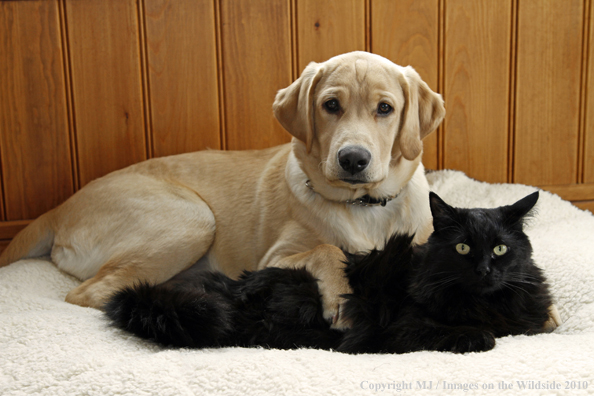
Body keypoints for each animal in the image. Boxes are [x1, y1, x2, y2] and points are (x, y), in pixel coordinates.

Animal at [0, 51, 444, 326]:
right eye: (330, 105)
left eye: (385, 108)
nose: (353, 159)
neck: (364, 206)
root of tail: (58, 209)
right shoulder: (275, 258)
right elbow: (327, 249)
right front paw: (340, 297)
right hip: (193, 220)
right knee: (89, 293)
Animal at [105, 191, 552, 352]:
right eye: (462, 248)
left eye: (500, 249)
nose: (484, 270)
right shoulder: (400, 329)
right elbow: (463, 334)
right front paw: (480, 335)